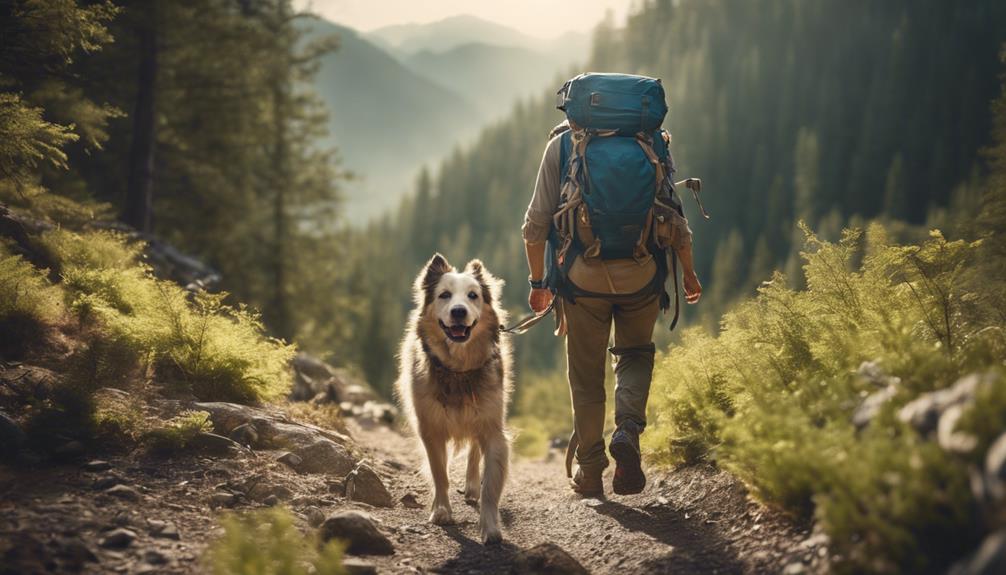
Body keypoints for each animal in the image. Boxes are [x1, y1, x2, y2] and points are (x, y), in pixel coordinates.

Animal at [396, 252, 515, 542]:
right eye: (444, 295)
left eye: (473, 295)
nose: (458, 311)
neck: (459, 370)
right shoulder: (431, 429)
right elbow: (440, 473)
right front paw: (441, 511)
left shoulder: (493, 429)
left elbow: (490, 486)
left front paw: (490, 527)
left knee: (474, 451)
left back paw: (471, 486)